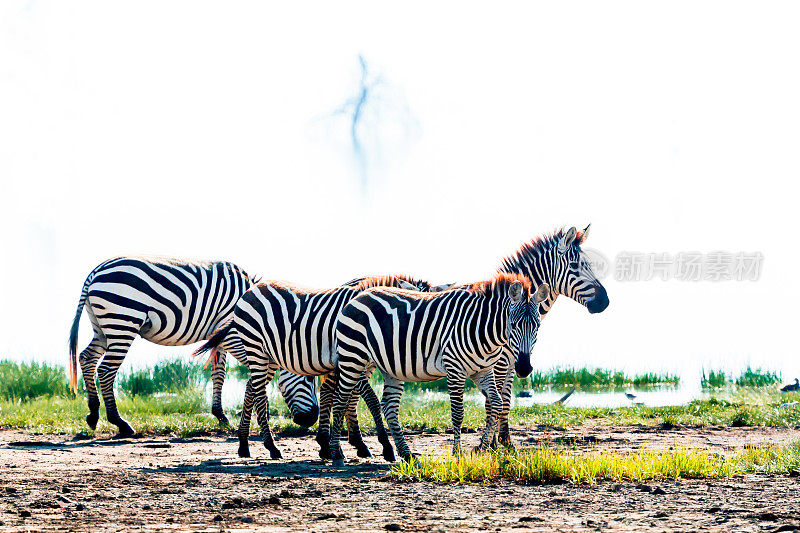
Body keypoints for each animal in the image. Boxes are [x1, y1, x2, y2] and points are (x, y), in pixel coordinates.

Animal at [68, 256, 318, 436]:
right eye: (308, 379)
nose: (312, 419)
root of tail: (95, 272)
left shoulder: (221, 335)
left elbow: (219, 373)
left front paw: (221, 416)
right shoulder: (234, 334)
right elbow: (256, 372)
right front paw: (258, 413)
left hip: (102, 327)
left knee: (86, 358)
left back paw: (93, 414)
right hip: (122, 322)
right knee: (106, 370)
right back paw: (120, 423)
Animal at [194, 274, 444, 458]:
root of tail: (252, 289)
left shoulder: (354, 363)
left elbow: (341, 398)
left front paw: (342, 444)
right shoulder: (348, 358)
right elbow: (367, 400)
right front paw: (383, 446)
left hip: (269, 356)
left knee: (251, 389)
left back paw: (244, 444)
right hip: (257, 349)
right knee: (259, 393)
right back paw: (271, 447)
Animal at [326, 272, 552, 464]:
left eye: (537, 326)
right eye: (513, 325)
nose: (524, 368)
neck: (485, 332)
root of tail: (359, 295)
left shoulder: (483, 371)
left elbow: (496, 404)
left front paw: (483, 447)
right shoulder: (455, 368)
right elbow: (458, 412)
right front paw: (457, 453)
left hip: (389, 369)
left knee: (389, 407)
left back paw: (406, 455)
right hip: (352, 357)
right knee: (340, 401)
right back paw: (336, 454)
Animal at [488, 224, 612, 444]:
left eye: (589, 264)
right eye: (575, 266)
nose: (604, 302)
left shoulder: (512, 361)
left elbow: (505, 400)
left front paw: (505, 442)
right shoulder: (499, 361)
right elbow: (494, 400)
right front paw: (491, 444)